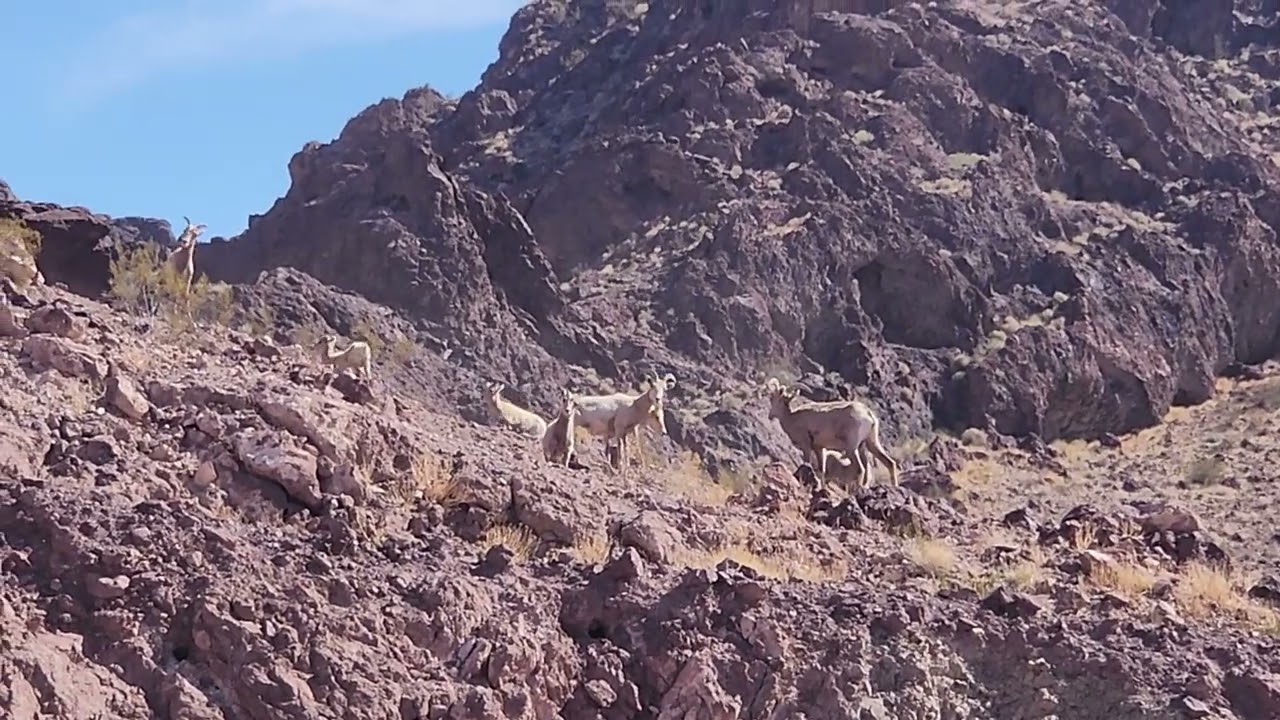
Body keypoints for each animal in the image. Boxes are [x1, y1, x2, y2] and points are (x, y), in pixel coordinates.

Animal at [763, 377, 899, 488]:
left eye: (774, 399)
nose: (770, 416)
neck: (792, 418)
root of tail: (868, 414)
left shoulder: (806, 446)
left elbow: (807, 464)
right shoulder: (820, 449)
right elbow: (821, 471)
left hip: (851, 448)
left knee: (861, 469)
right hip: (869, 444)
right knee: (889, 463)